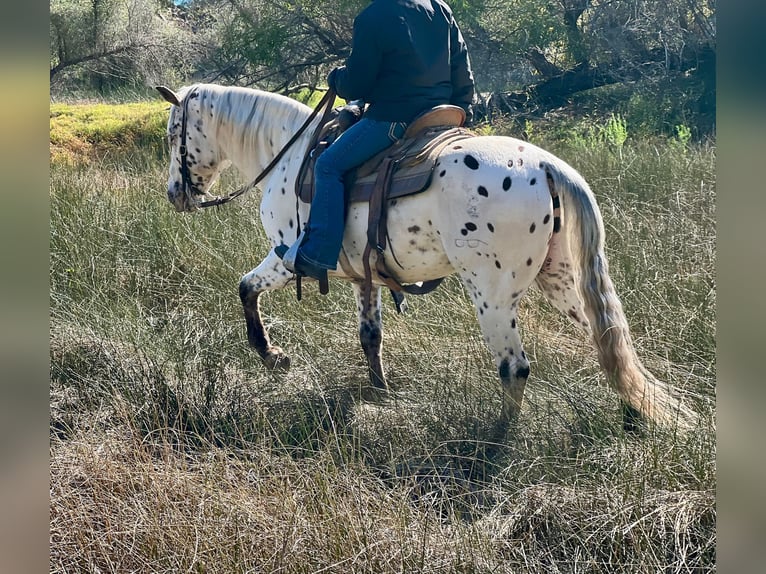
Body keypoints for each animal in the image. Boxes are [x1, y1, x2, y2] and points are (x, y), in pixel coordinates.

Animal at [156, 82, 696, 432]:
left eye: (172, 133)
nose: (175, 195)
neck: (292, 151)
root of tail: (547, 166)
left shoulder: (289, 255)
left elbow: (246, 287)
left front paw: (273, 357)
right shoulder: (365, 276)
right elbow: (370, 337)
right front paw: (378, 394)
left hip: (493, 295)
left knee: (515, 367)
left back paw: (494, 444)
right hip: (563, 281)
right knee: (609, 343)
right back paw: (635, 413)